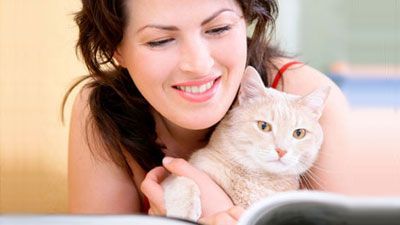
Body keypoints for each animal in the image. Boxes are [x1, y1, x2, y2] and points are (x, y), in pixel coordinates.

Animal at [161, 66, 330, 221]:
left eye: (299, 133)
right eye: (264, 126)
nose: (281, 150)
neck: (257, 181)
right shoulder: (176, 175)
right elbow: (183, 182)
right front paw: (184, 212)